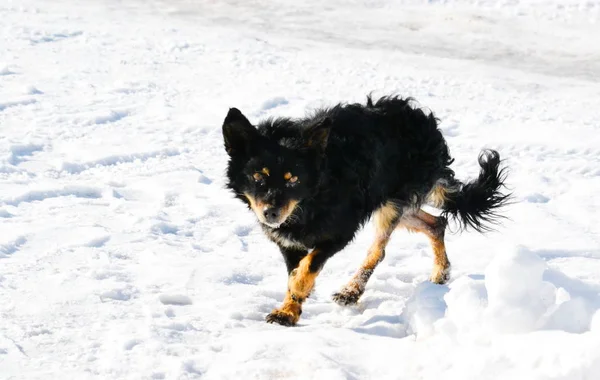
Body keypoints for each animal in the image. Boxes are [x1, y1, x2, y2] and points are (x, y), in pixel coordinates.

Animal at [223, 95, 508, 326]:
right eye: (258, 176)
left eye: (293, 179)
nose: (271, 214)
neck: (310, 201)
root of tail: (423, 121)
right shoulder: (288, 242)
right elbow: (295, 274)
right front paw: (289, 310)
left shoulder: (339, 232)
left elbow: (305, 271)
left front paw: (291, 308)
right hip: (395, 202)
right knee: (436, 223)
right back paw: (441, 273)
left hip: (392, 203)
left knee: (378, 251)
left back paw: (351, 291)